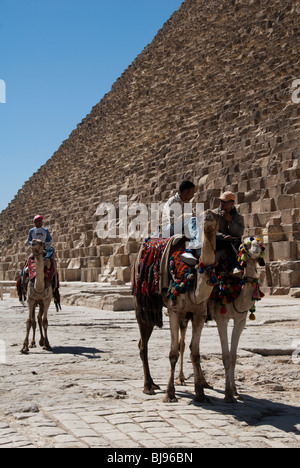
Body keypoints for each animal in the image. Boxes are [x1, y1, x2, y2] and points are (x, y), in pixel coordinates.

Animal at [135, 209, 219, 402]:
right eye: (206, 214)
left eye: (218, 214)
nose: (209, 214)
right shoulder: (174, 310)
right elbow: (173, 353)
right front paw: (170, 393)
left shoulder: (199, 314)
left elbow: (194, 352)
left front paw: (200, 393)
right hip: (142, 302)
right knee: (143, 344)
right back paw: (148, 386)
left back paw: (155, 383)